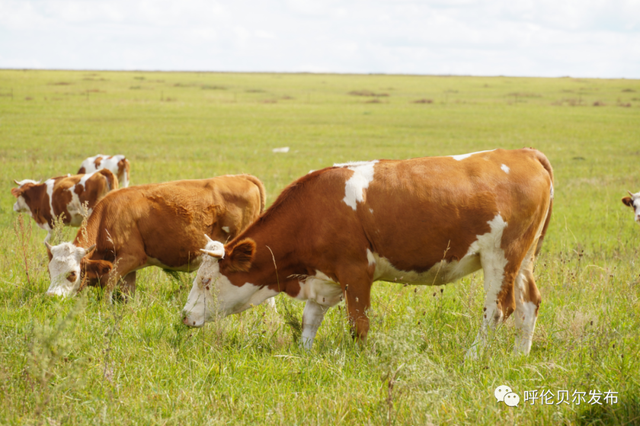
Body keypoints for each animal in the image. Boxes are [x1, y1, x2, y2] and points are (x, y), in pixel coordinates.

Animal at [43, 175, 268, 302]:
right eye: (50, 271)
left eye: (72, 273)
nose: (52, 297)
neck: (111, 215)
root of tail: (242, 177)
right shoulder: (129, 269)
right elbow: (127, 294)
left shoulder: (131, 258)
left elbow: (108, 286)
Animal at [184, 148, 556, 358]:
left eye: (205, 282)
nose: (184, 316)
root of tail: (524, 153)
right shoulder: (325, 277)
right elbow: (310, 318)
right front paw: (303, 353)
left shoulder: (355, 272)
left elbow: (358, 323)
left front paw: (359, 359)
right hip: (523, 259)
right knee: (529, 303)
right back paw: (520, 356)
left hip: (501, 256)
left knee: (498, 309)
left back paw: (474, 356)